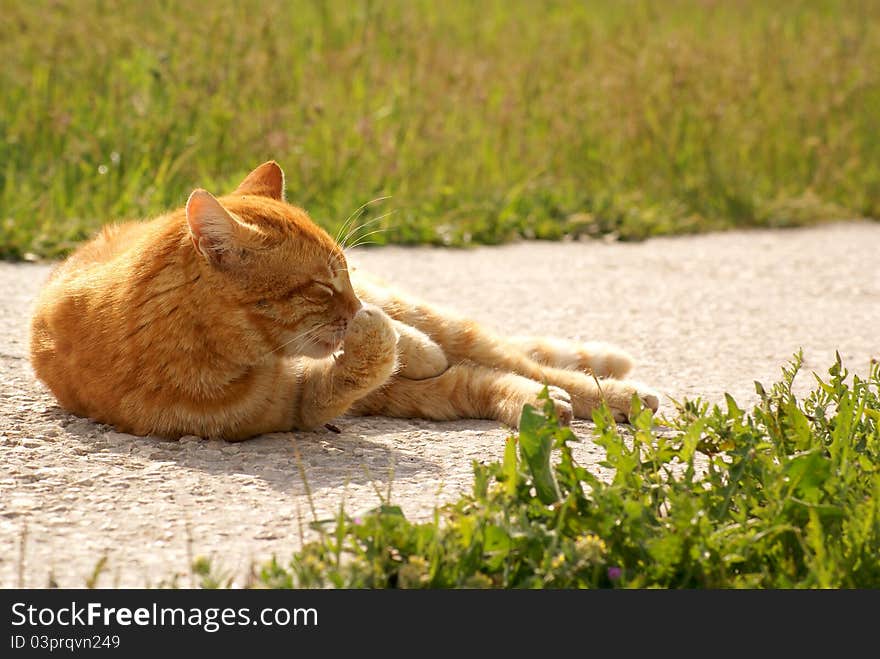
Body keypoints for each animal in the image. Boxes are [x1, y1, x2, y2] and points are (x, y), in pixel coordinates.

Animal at [29, 160, 660, 440]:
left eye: (347, 275)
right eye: (322, 287)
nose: (355, 304)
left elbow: (397, 339)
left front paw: (404, 342)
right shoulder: (302, 406)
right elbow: (368, 358)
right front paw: (379, 341)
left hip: (435, 323)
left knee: (510, 357)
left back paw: (616, 393)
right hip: (410, 399)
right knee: (487, 380)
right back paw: (545, 405)